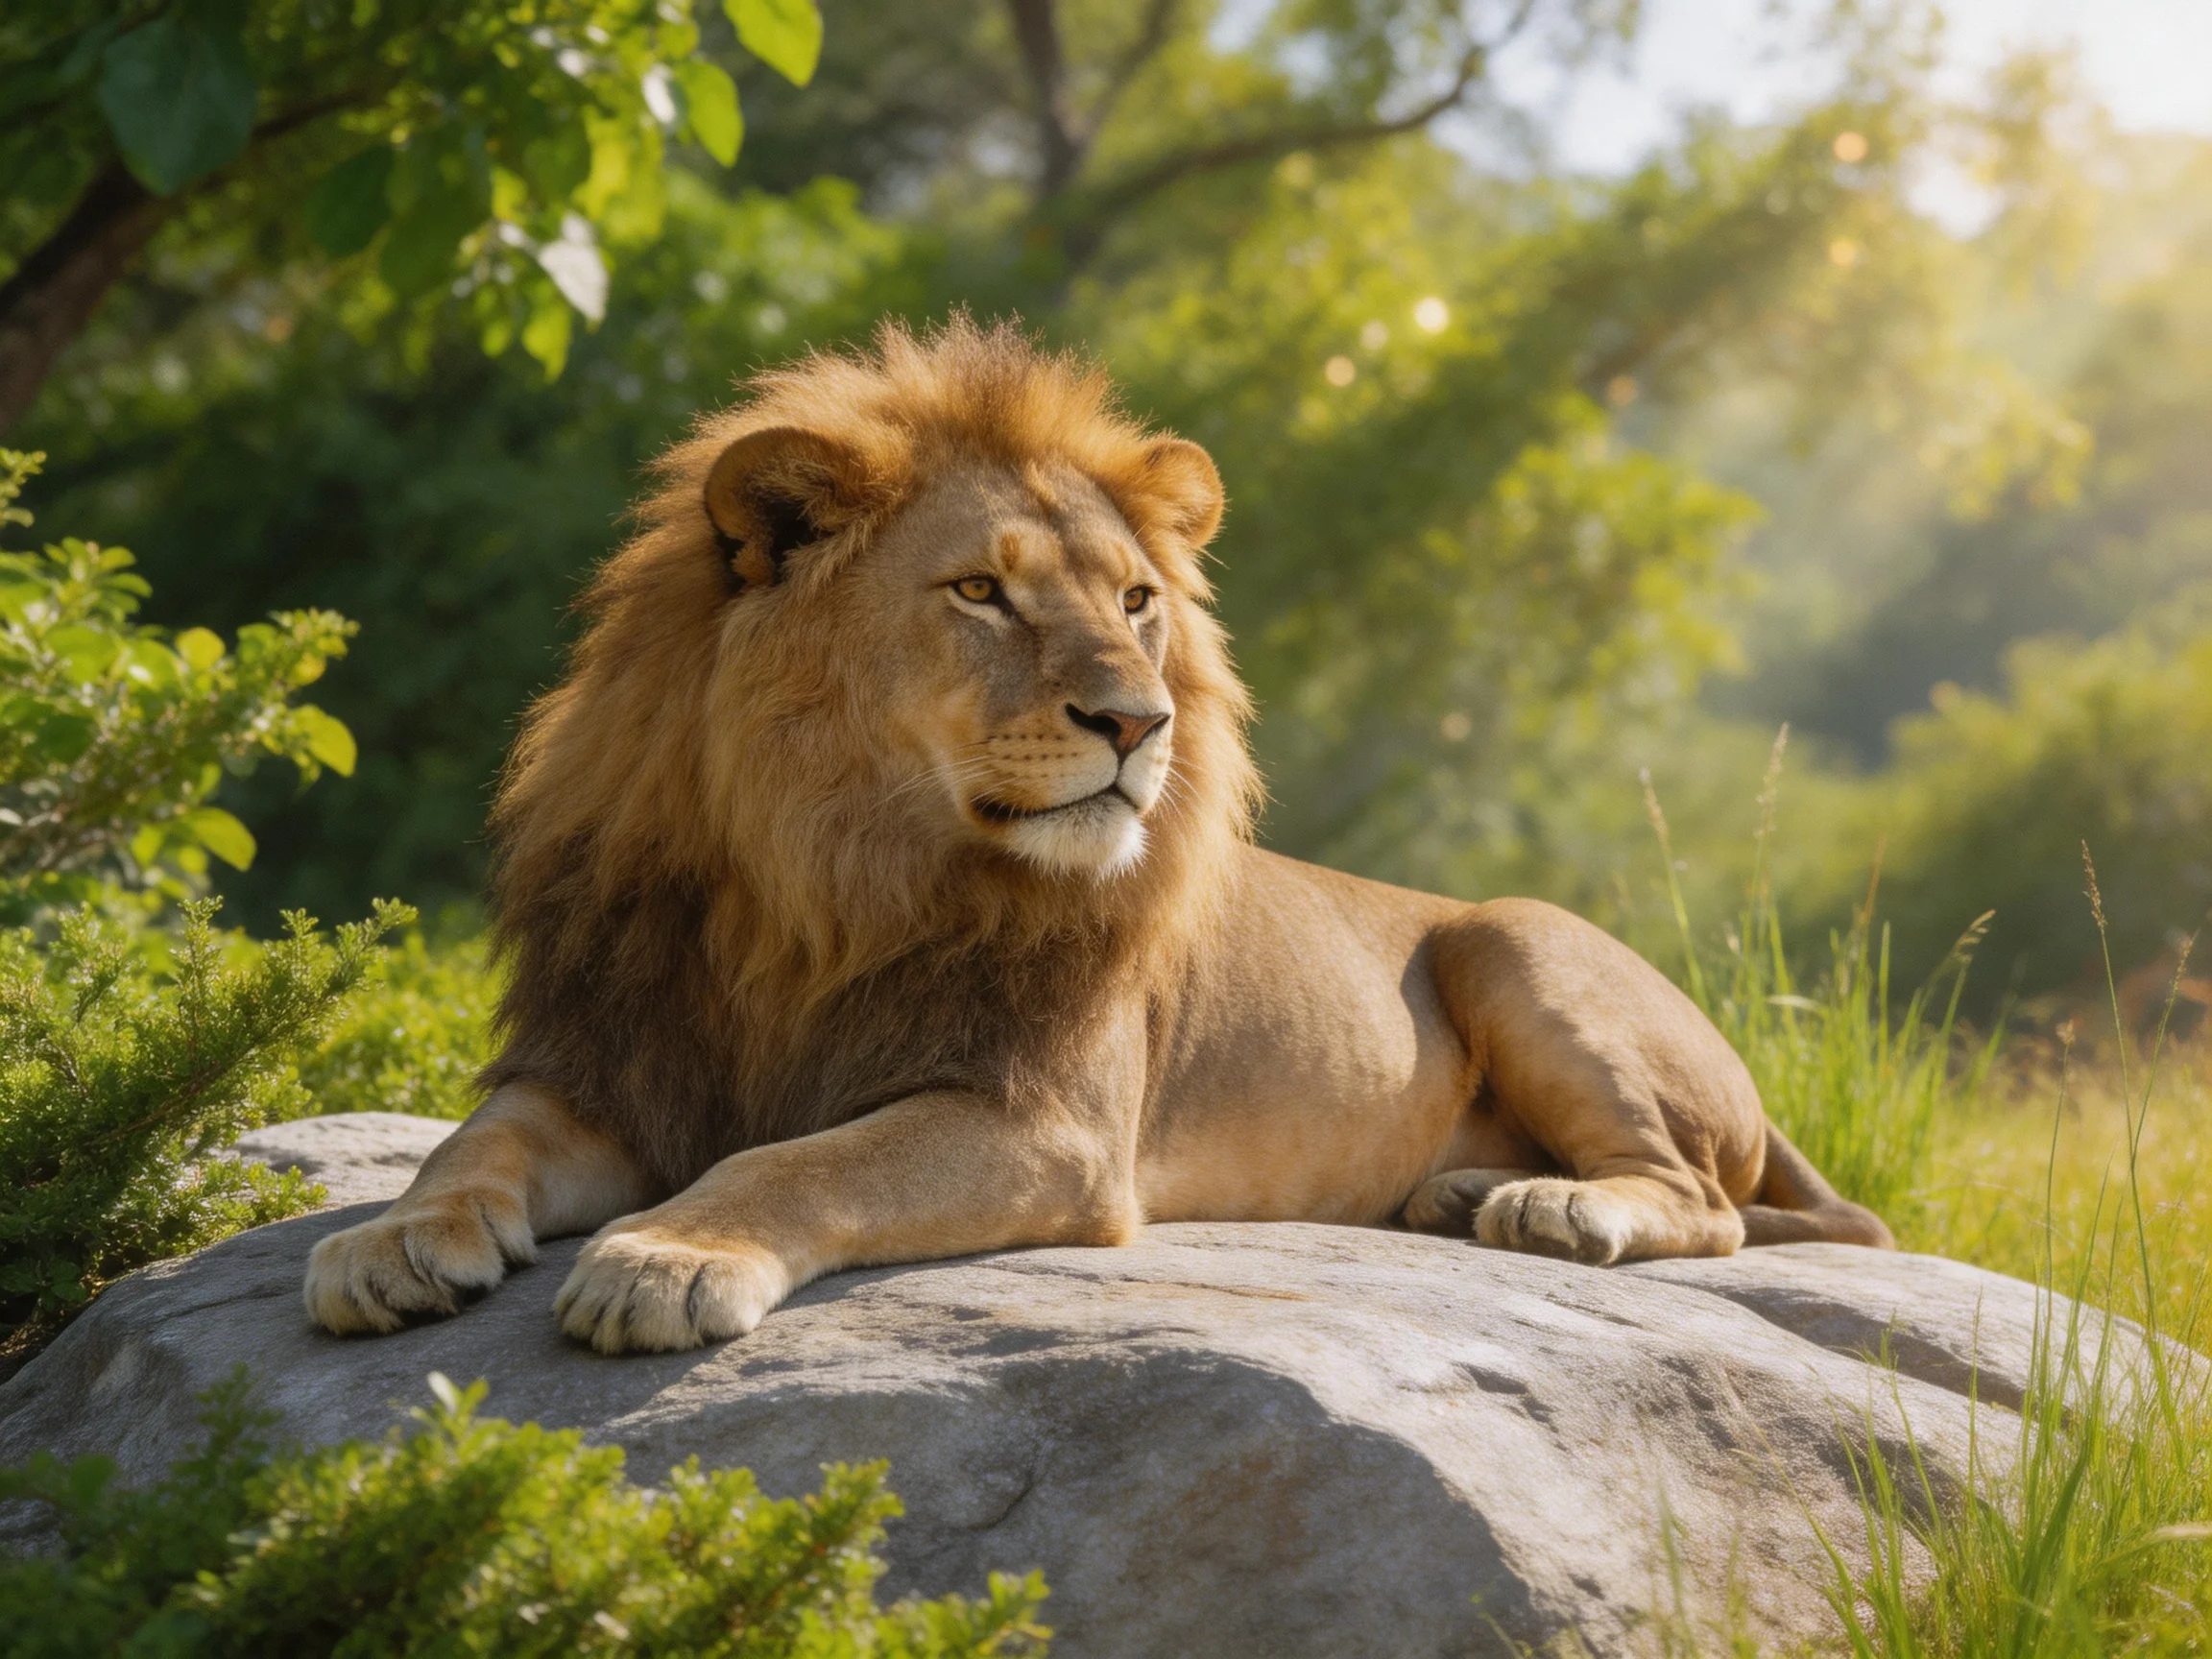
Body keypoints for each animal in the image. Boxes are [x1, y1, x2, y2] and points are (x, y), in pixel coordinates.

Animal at [304, 318, 1891, 1355]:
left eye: (1136, 602)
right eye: (980, 594)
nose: (1138, 722)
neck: (824, 880)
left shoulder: (1046, 1126)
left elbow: (799, 1166)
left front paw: (667, 1256)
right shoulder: (613, 1063)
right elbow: (473, 1145)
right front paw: (383, 1244)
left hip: (1513, 937)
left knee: (1707, 1202)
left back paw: (1552, 1207)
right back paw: (1460, 1190)